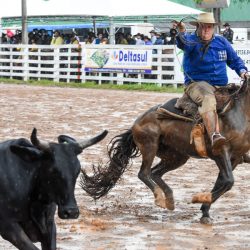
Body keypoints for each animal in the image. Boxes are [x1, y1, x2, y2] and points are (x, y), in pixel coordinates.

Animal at [80, 77, 250, 223]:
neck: (239, 113)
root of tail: (137, 122)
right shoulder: (221, 153)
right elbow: (228, 181)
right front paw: (199, 200)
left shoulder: (235, 158)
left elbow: (222, 182)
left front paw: (205, 211)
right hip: (150, 146)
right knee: (144, 173)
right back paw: (160, 199)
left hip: (176, 157)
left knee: (155, 172)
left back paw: (169, 199)